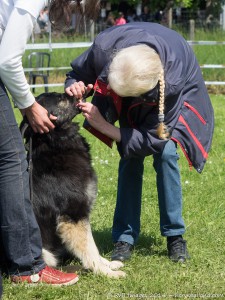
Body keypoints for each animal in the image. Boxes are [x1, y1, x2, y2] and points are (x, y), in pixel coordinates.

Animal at [19, 92, 125, 278]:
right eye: (60, 99)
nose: (82, 91)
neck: (56, 142)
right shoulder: (74, 215)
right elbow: (90, 248)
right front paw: (104, 272)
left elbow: (93, 248)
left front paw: (108, 264)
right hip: (43, 250)